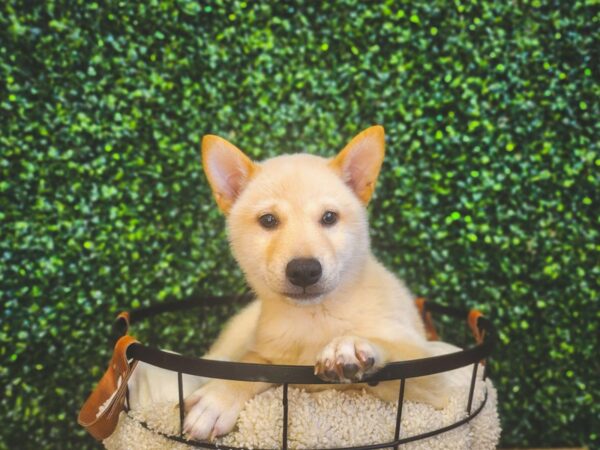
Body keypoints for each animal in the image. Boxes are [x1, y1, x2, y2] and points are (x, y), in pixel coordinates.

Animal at [185, 125, 448, 440]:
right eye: (268, 220)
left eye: (329, 217)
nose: (304, 271)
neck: (315, 317)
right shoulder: (271, 357)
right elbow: (251, 364)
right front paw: (218, 397)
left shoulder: (434, 382)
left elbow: (395, 352)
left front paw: (349, 346)